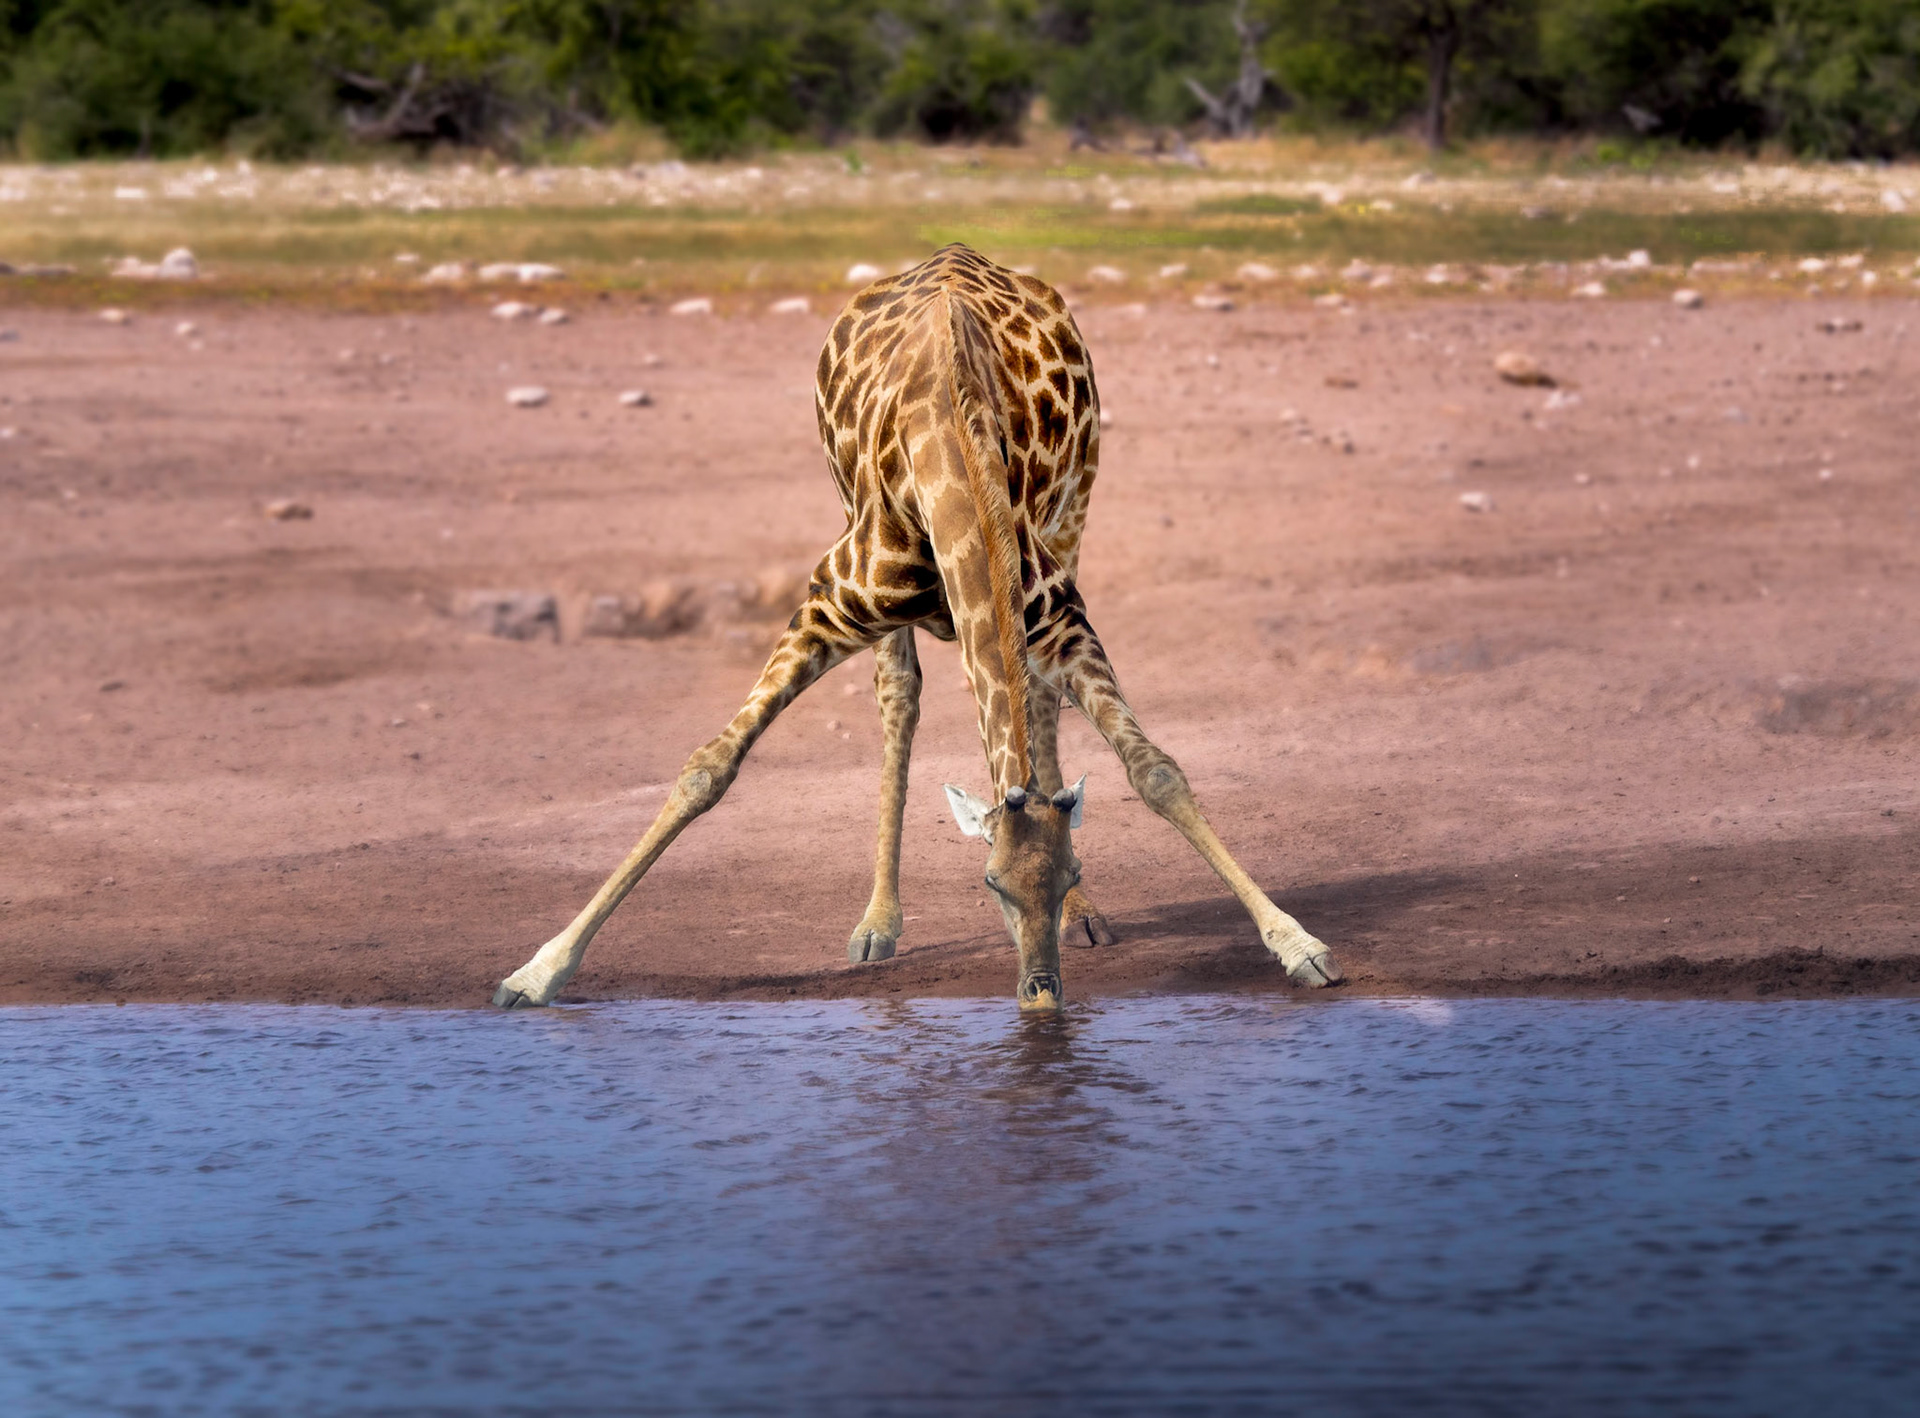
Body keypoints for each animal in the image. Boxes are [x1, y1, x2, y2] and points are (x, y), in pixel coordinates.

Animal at [491, 243, 1341, 1012]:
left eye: (1069, 872)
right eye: (990, 885)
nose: (1041, 995)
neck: (954, 454)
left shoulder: (1060, 615)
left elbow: (1154, 770)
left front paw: (1298, 945)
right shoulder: (826, 605)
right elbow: (707, 769)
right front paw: (537, 971)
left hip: (1076, 508)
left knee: (1033, 701)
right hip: (858, 538)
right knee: (898, 697)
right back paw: (876, 923)